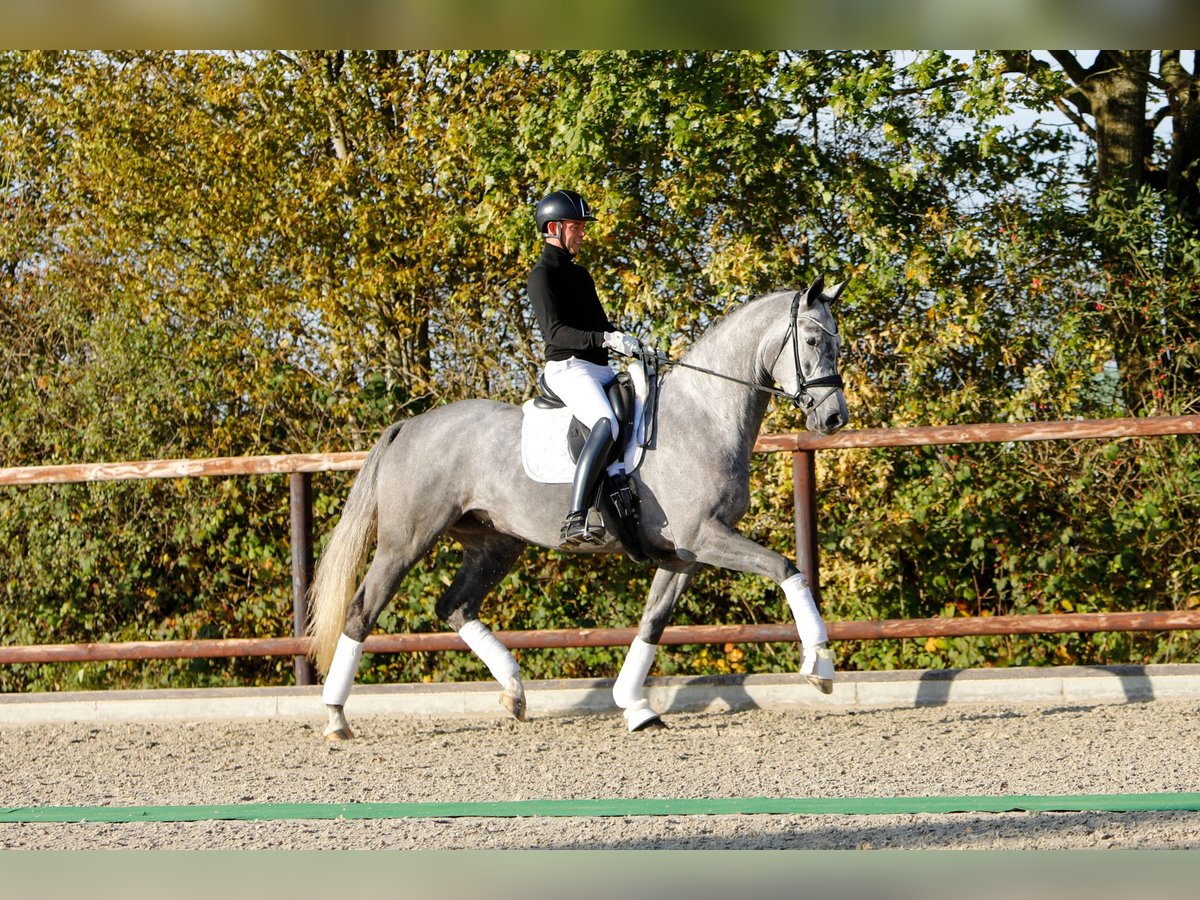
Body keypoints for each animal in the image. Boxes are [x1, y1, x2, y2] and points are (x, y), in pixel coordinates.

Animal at [309, 274, 854, 739]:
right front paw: (820, 666)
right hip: (405, 541)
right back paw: (335, 717)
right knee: (362, 611)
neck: (704, 414)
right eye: (811, 342)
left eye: (836, 342)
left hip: (494, 544)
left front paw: (635, 707)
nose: (833, 419)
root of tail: (411, 425)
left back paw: (514, 693)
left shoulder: (686, 553)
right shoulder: (705, 537)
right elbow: (785, 568)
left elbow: (653, 622)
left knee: (455, 606)